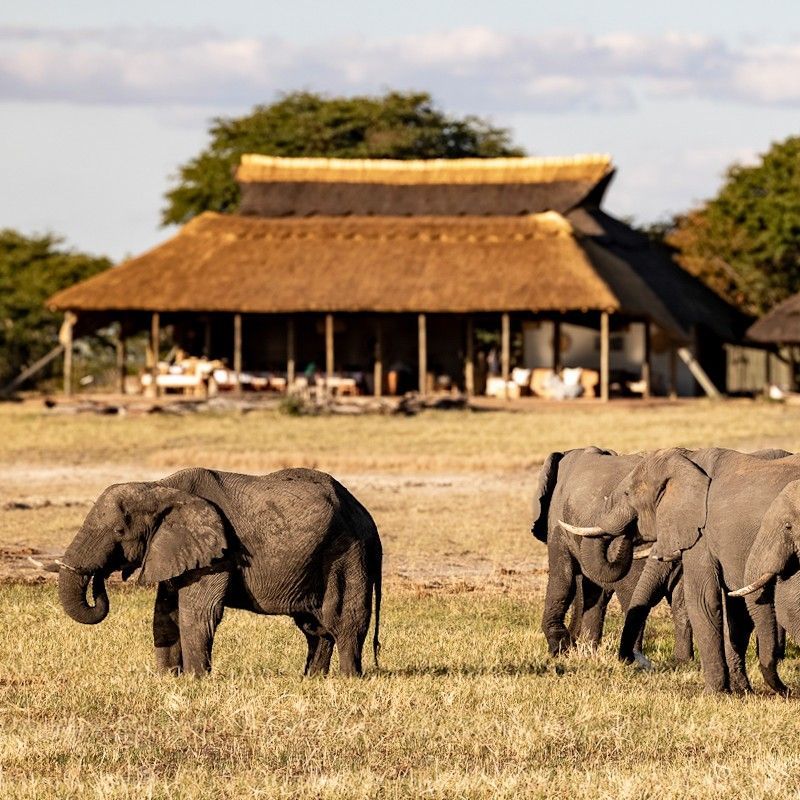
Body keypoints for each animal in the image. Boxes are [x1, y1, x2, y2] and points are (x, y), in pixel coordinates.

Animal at [57, 467, 382, 677]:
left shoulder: (217, 553)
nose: (100, 580)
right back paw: (313, 679)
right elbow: (164, 613)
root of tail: (366, 515)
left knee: (343, 619)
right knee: (315, 627)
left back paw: (348, 678)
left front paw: (195, 680)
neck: (159, 487)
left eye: (119, 531)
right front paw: (167, 679)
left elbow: (198, 612)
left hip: (347, 553)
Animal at [532, 446, 692, 660]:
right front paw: (586, 651)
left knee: (632, 599)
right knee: (681, 604)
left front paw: (559, 650)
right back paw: (683, 662)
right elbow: (593, 591)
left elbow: (562, 578)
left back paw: (632, 659)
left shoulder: (556, 522)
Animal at [565, 447, 799, 694]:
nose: (632, 661)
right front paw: (741, 691)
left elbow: (702, 600)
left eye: (628, 494)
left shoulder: (701, 533)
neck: (688, 458)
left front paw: (713, 694)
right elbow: (736, 613)